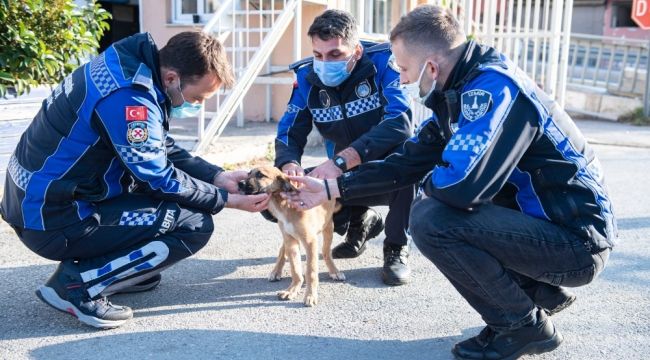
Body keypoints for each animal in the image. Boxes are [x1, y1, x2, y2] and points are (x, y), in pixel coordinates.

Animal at [238, 166, 344, 306]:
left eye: (261, 175)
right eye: (248, 173)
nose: (240, 183)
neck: (284, 206)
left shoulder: (310, 242)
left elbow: (311, 271)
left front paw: (310, 295)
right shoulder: (290, 240)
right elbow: (295, 269)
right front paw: (292, 290)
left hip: (328, 228)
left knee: (326, 252)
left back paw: (334, 271)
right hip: (288, 236)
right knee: (282, 250)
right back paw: (276, 271)